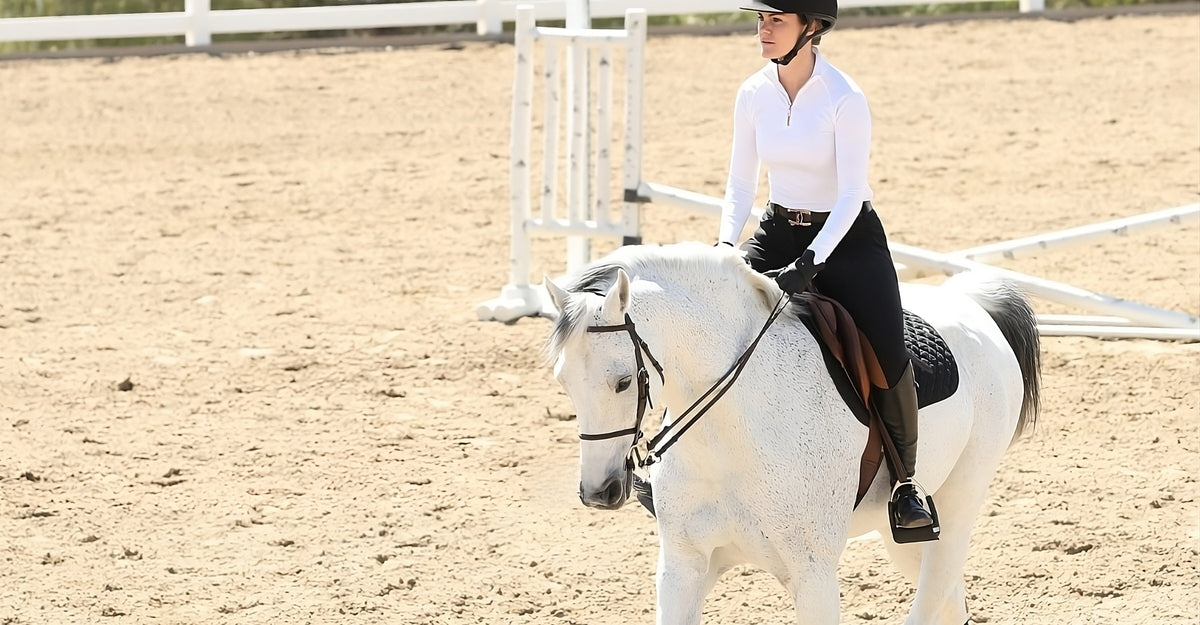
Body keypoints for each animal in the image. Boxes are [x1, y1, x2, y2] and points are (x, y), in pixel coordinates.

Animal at [543, 241, 1041, 625]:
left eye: (623, 381)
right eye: (562, 380)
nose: (599, 492)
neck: (728, 438)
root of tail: (972, 303)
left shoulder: (813, 575)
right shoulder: (684, 566)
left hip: (957, 505)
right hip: (899, 535)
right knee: (949, 600)